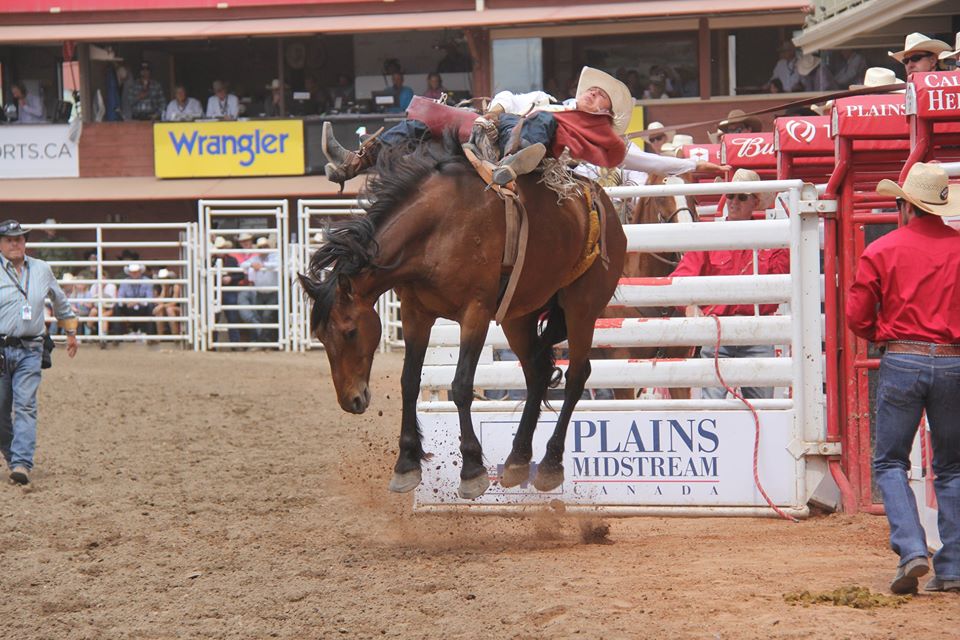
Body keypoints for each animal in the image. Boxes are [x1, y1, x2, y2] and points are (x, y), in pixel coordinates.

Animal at [302, 136, 632, 500]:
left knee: (576, 376)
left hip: (582, 306)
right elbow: (409, 382)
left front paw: (472, 469)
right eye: (321, 337)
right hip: (519, 315)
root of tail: (601, 200)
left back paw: (549, 464)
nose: (352, 400)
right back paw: (517, 460)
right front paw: (406, 464)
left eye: (349, 332)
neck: (437, 228)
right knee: (538, 373)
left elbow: (461, 386)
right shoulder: (416, 313)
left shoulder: (476, 312)